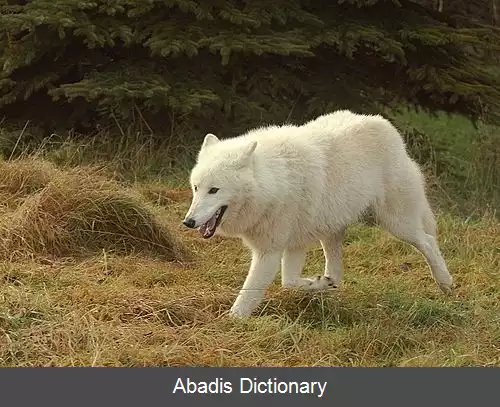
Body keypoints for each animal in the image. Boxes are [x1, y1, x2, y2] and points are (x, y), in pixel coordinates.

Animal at [183, 111, 454, 318]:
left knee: (429, 241)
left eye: (214, 190)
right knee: (338, 271)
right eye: (196, 188)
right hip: (332, 231)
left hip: (396, 223)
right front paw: (319, 283)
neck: (273, 183)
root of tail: (386, 125)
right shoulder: (293, 245)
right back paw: (330, 286)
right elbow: (289, 282)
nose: (188, 222)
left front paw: (232, 321)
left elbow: (251, 294)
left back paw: (446, 283)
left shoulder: (270, 252)